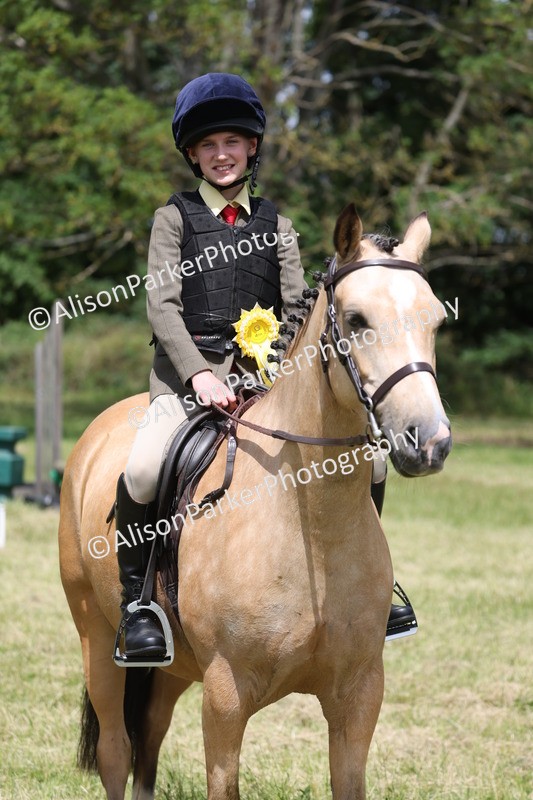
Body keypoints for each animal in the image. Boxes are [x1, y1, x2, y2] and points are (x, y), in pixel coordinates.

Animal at [58, 203, 452, 800]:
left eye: (434, 320)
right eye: (357, 319)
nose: (428, 441)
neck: (310, 523)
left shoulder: (360, 695)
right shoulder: (226, 694)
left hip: (172, 670)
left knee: (148, 740)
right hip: (96, 634)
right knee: (115, 751)